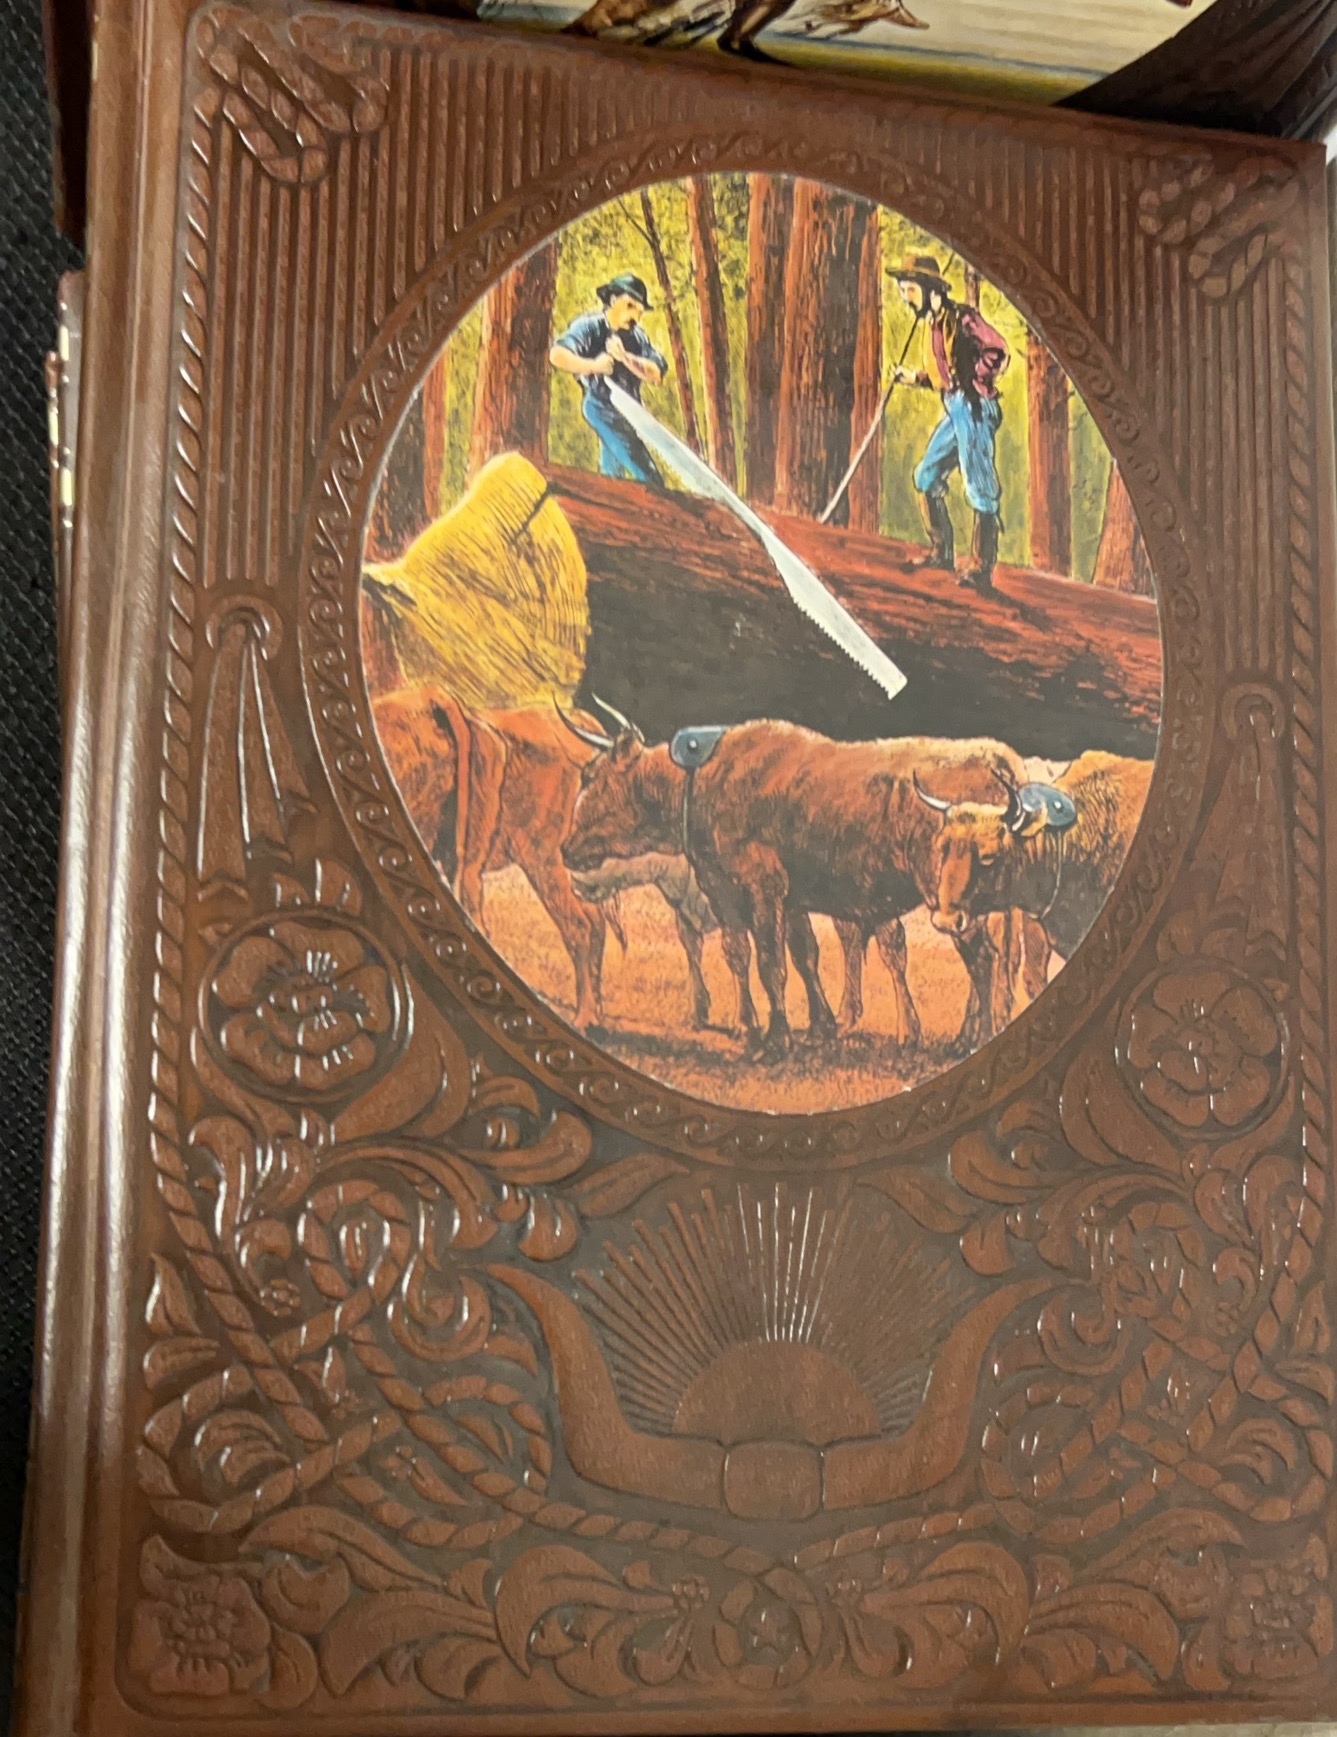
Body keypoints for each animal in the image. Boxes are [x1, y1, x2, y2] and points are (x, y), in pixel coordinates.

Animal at [560, 712, 1033, 1061]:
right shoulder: (737, 891)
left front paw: (777, 1038)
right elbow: (770, 954)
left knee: (983, 960)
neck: (709, 781)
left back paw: (972, 1040)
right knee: (987, 960)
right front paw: (774, 1028)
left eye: (590, 776)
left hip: (954, 902)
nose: (565, 847)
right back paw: (964, 1037)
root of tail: (996, 754)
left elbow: (772, 962)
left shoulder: (762, 887)